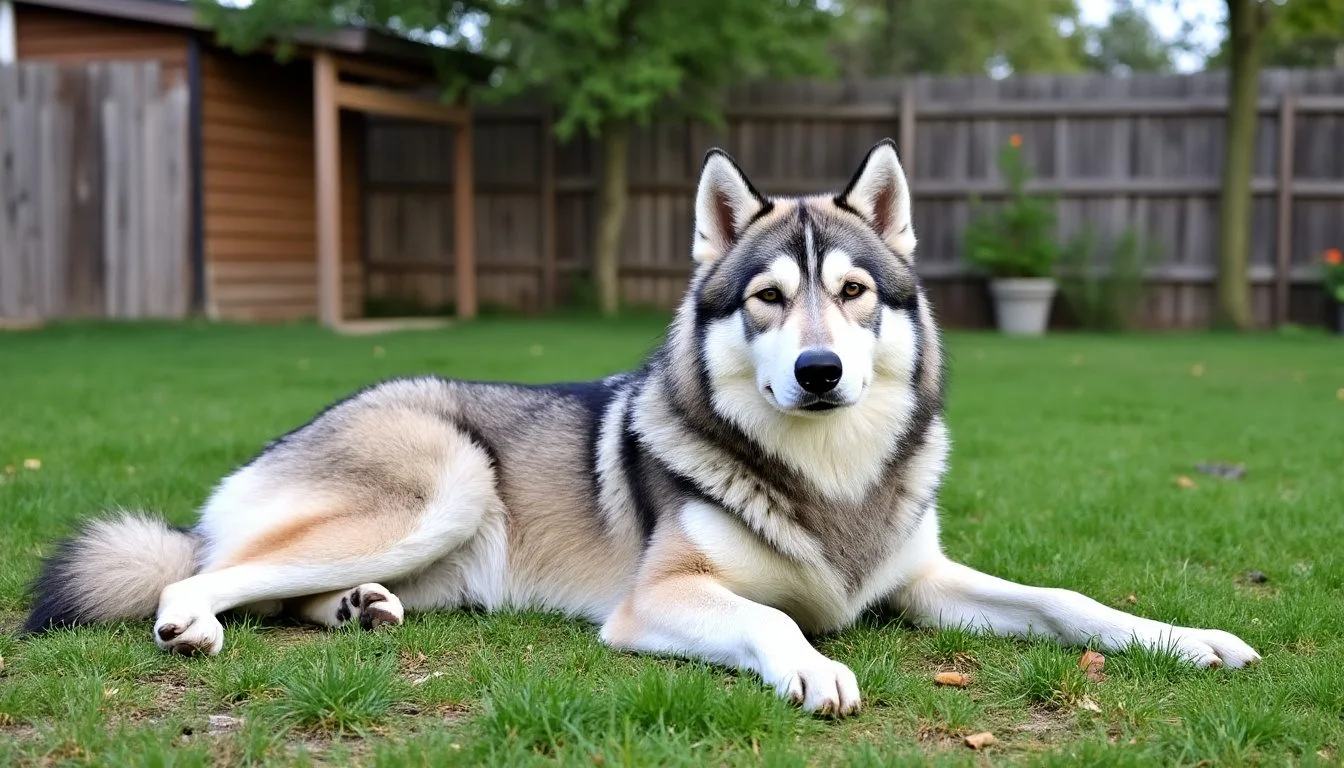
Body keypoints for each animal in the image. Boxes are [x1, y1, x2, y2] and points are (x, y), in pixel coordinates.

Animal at [23, 140, 1259, 716]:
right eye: (767, 298)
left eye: (856, 293)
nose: (818, 369)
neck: (826, 479)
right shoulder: (660, 599)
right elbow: (775, 621)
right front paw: (812, 668)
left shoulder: (922, 580)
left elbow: (1068, 601)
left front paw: (1186, 638)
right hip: (449, 477)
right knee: (203, 573)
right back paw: (198, 620)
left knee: (281, 585)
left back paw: (355, 610)